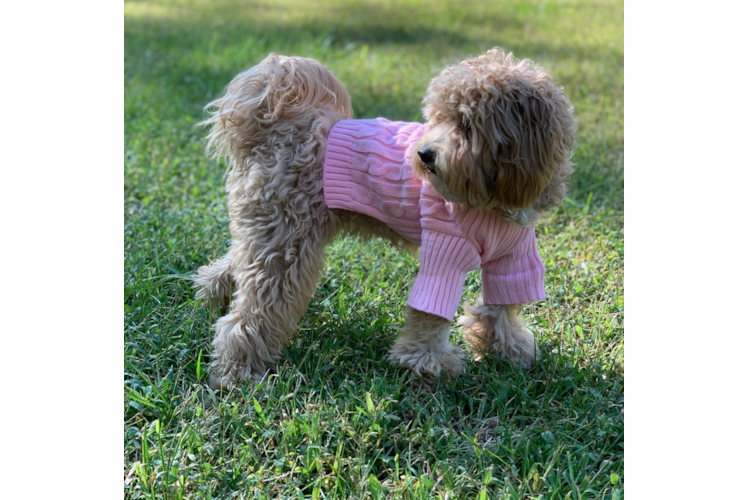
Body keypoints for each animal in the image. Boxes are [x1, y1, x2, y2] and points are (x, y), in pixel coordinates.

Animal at [196, 48, 576, 388]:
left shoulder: (514, 256)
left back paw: (214, 294)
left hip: (274, 232)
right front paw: (426, 362)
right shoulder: (444, 250)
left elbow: (503, 305)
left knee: (236, 265)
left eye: (466, 125)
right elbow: (430, 312)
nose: (424, 155)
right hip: (285, 241)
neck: (494, 198)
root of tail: (277, 127)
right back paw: (237, 371)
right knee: (254, 311)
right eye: (438, 117)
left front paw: (509, 350)